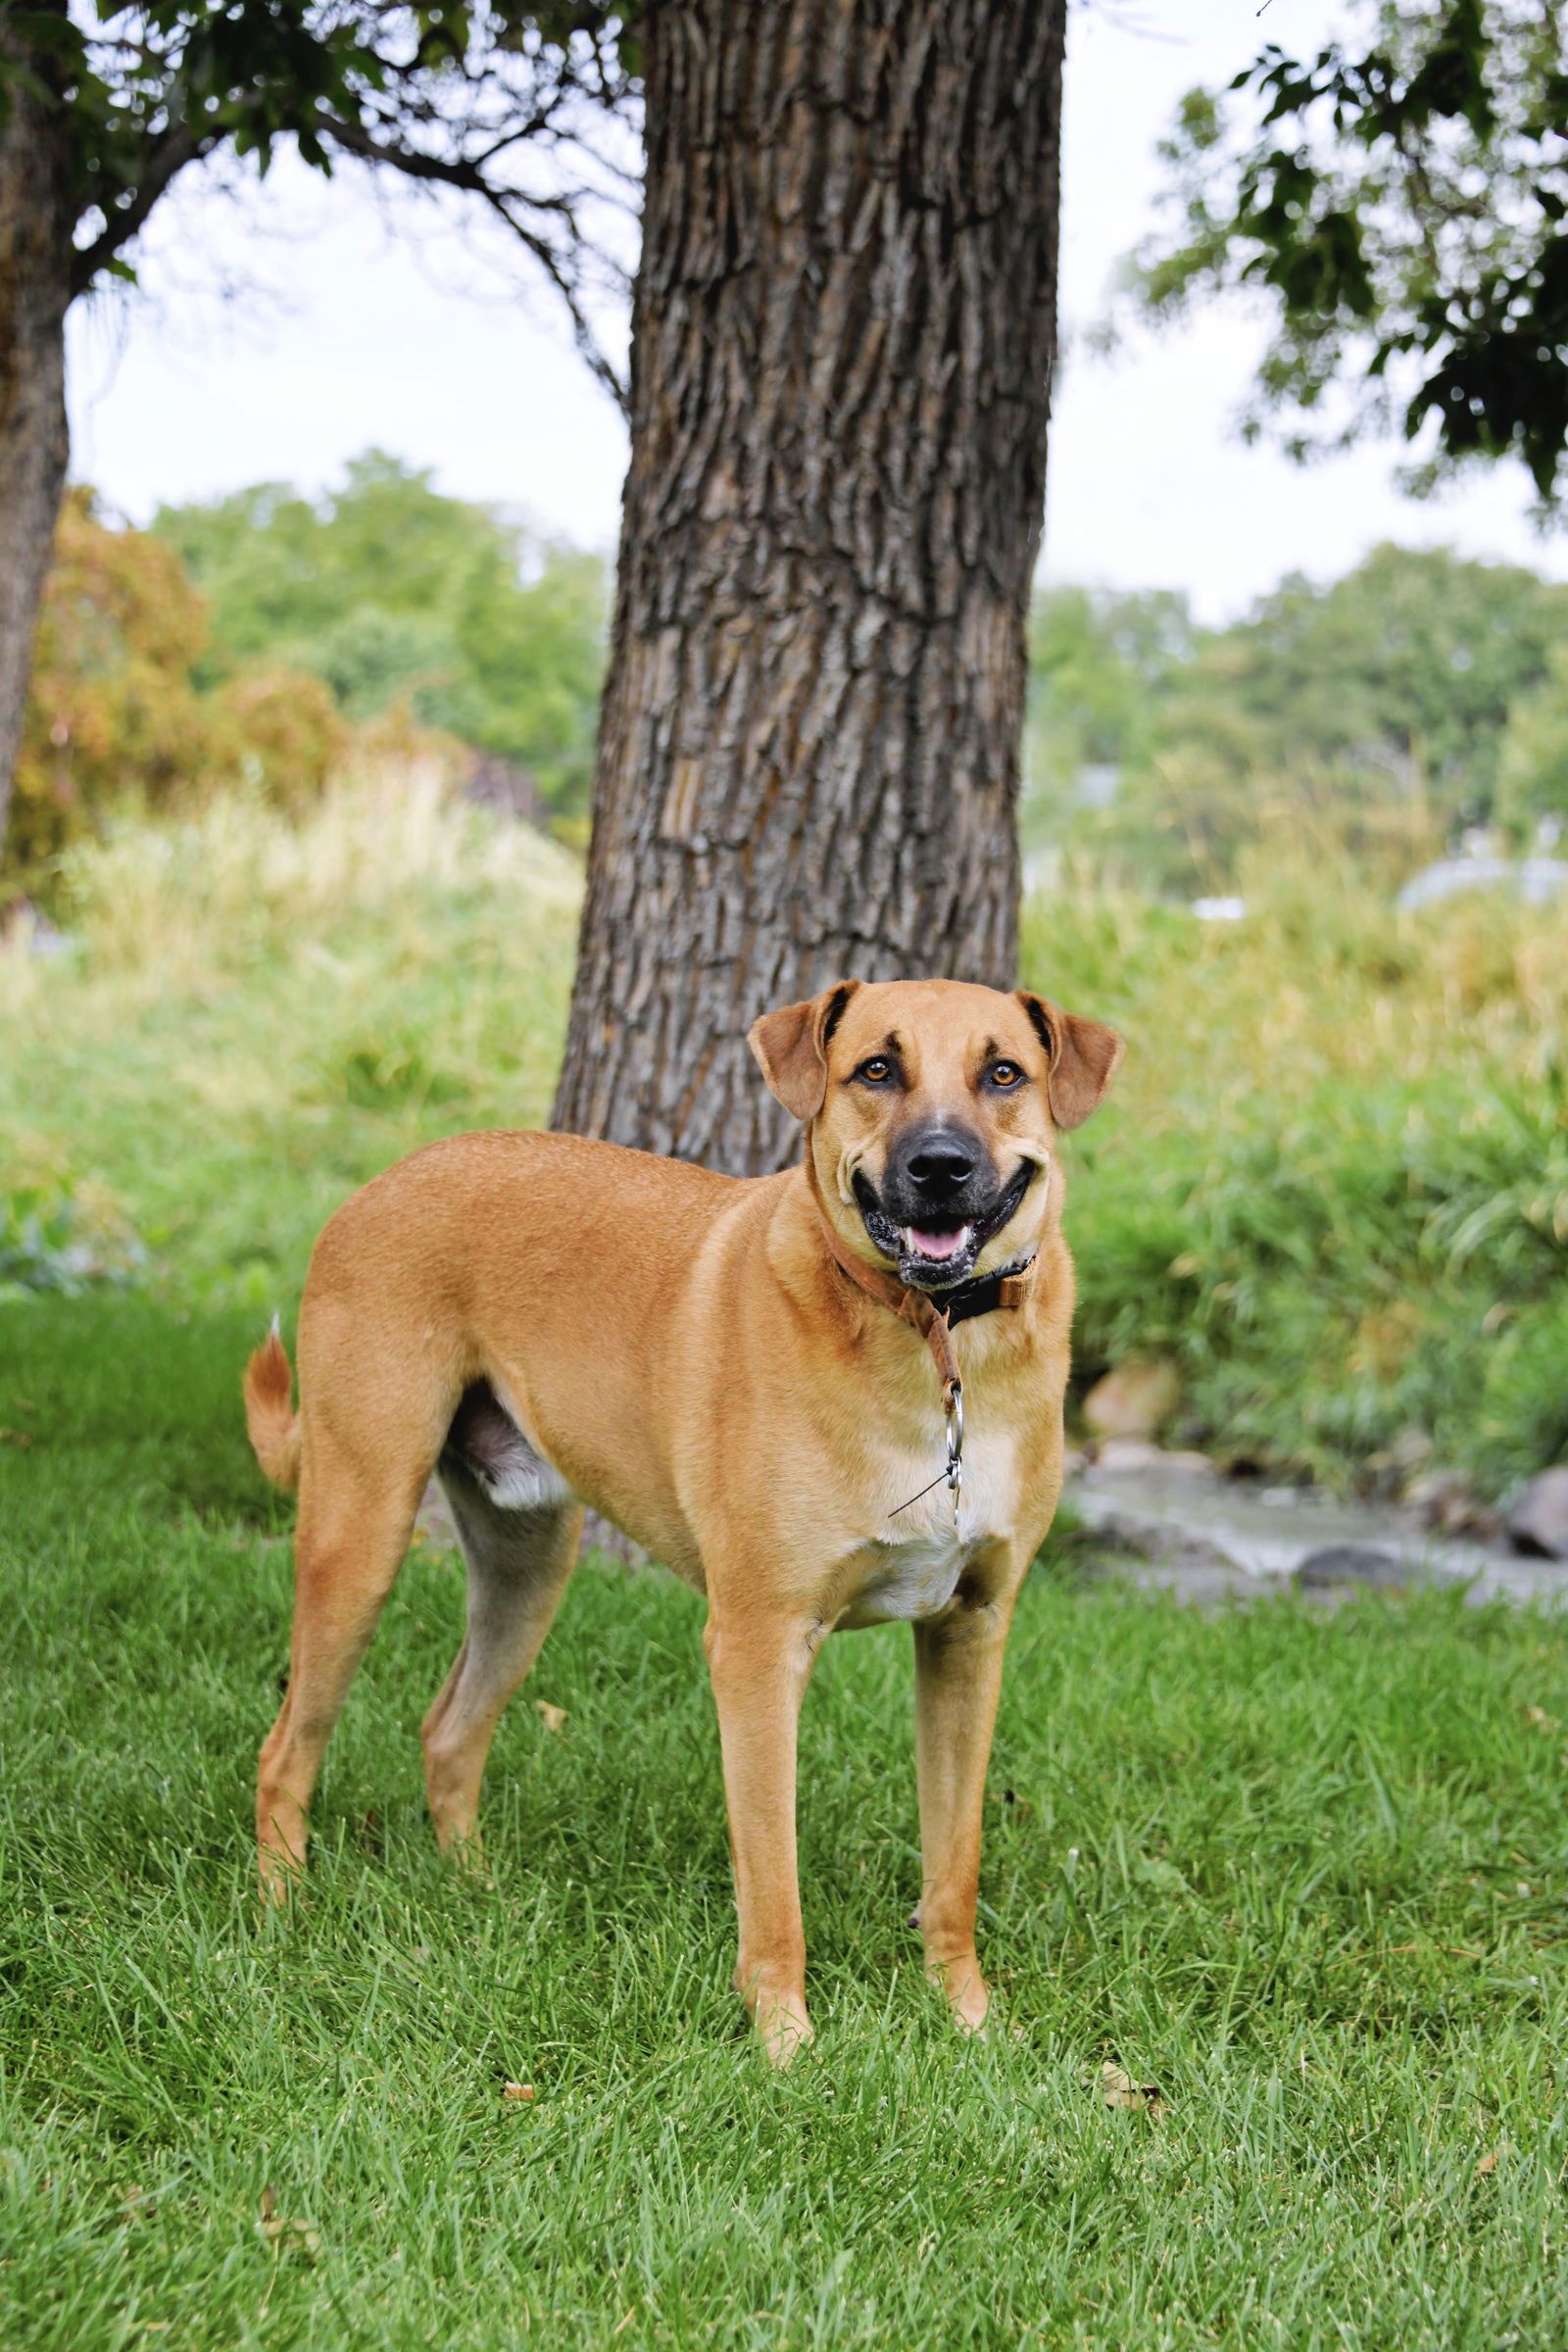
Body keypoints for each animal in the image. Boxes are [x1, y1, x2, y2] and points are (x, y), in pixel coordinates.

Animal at [245, 973, 1123, 2060]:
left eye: (1004, 1073)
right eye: (877, 1069)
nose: (941, 1167)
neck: (936, 1344)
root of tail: (375, 1185)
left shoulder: (970, 1633)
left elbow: (952, 1862)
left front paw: (967, 2021)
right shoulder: (757, 1645)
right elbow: (773, 1884)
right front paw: (786, 2047)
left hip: (528, 1564)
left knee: (448, 1730)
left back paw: (476, 1895)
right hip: (359, 1536)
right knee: (286, 1751)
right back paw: (283, 1916)